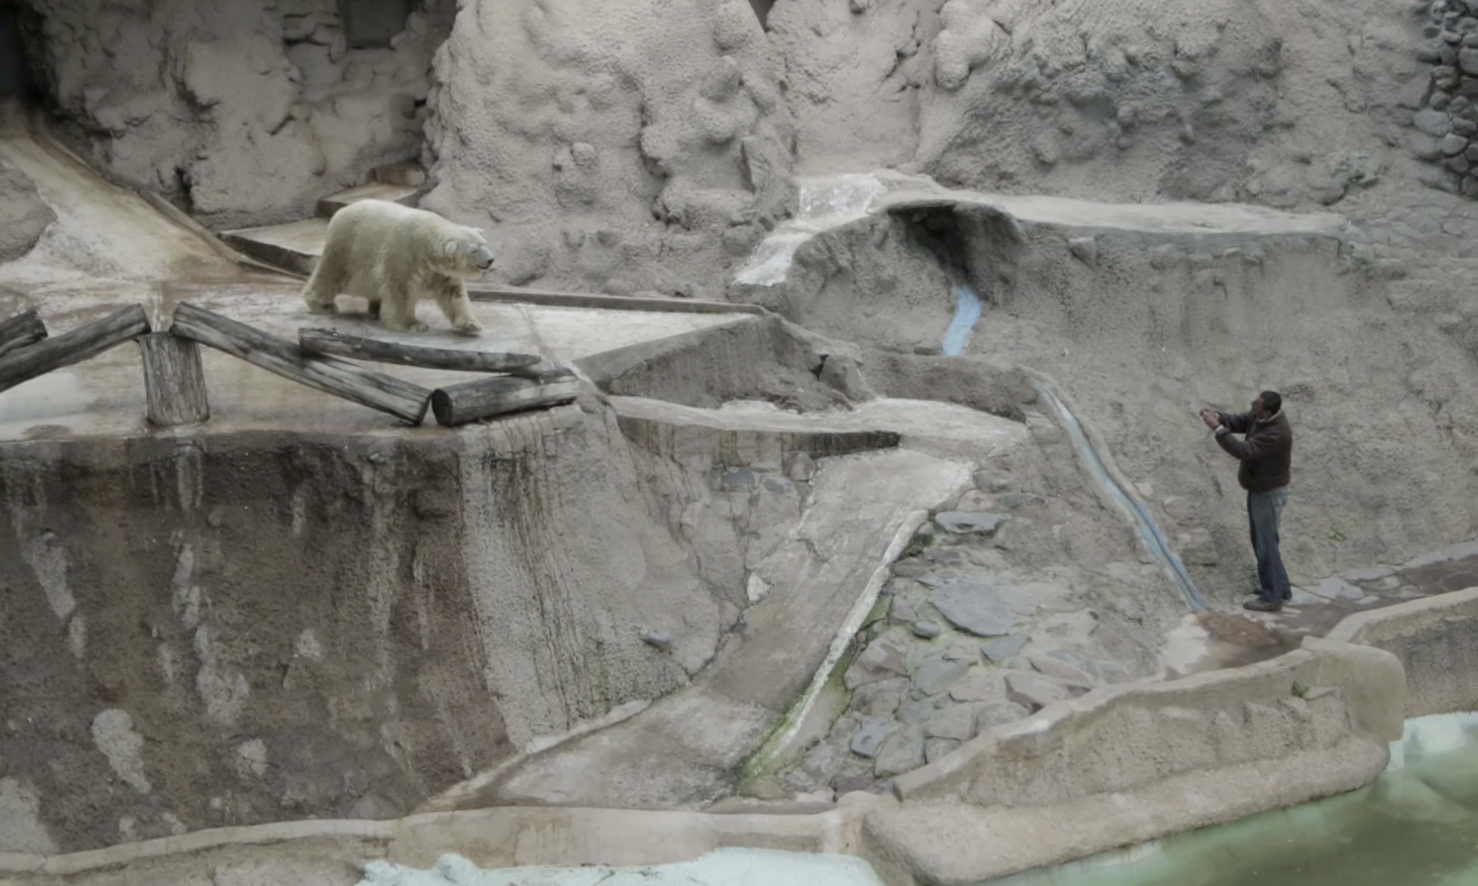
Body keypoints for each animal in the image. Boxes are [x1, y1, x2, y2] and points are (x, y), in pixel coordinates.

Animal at [301, 199, 494, 334]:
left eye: (484, 243)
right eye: (474, 250)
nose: (491, 259)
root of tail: (339, 212)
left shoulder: (439, 271)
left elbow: (453, 293)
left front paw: (471, 324)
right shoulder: (403, 254)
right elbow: (400, 289)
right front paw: (413, 324)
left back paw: (375, 310)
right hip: (346, 248)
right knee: (330, 275)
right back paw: (323, 306)